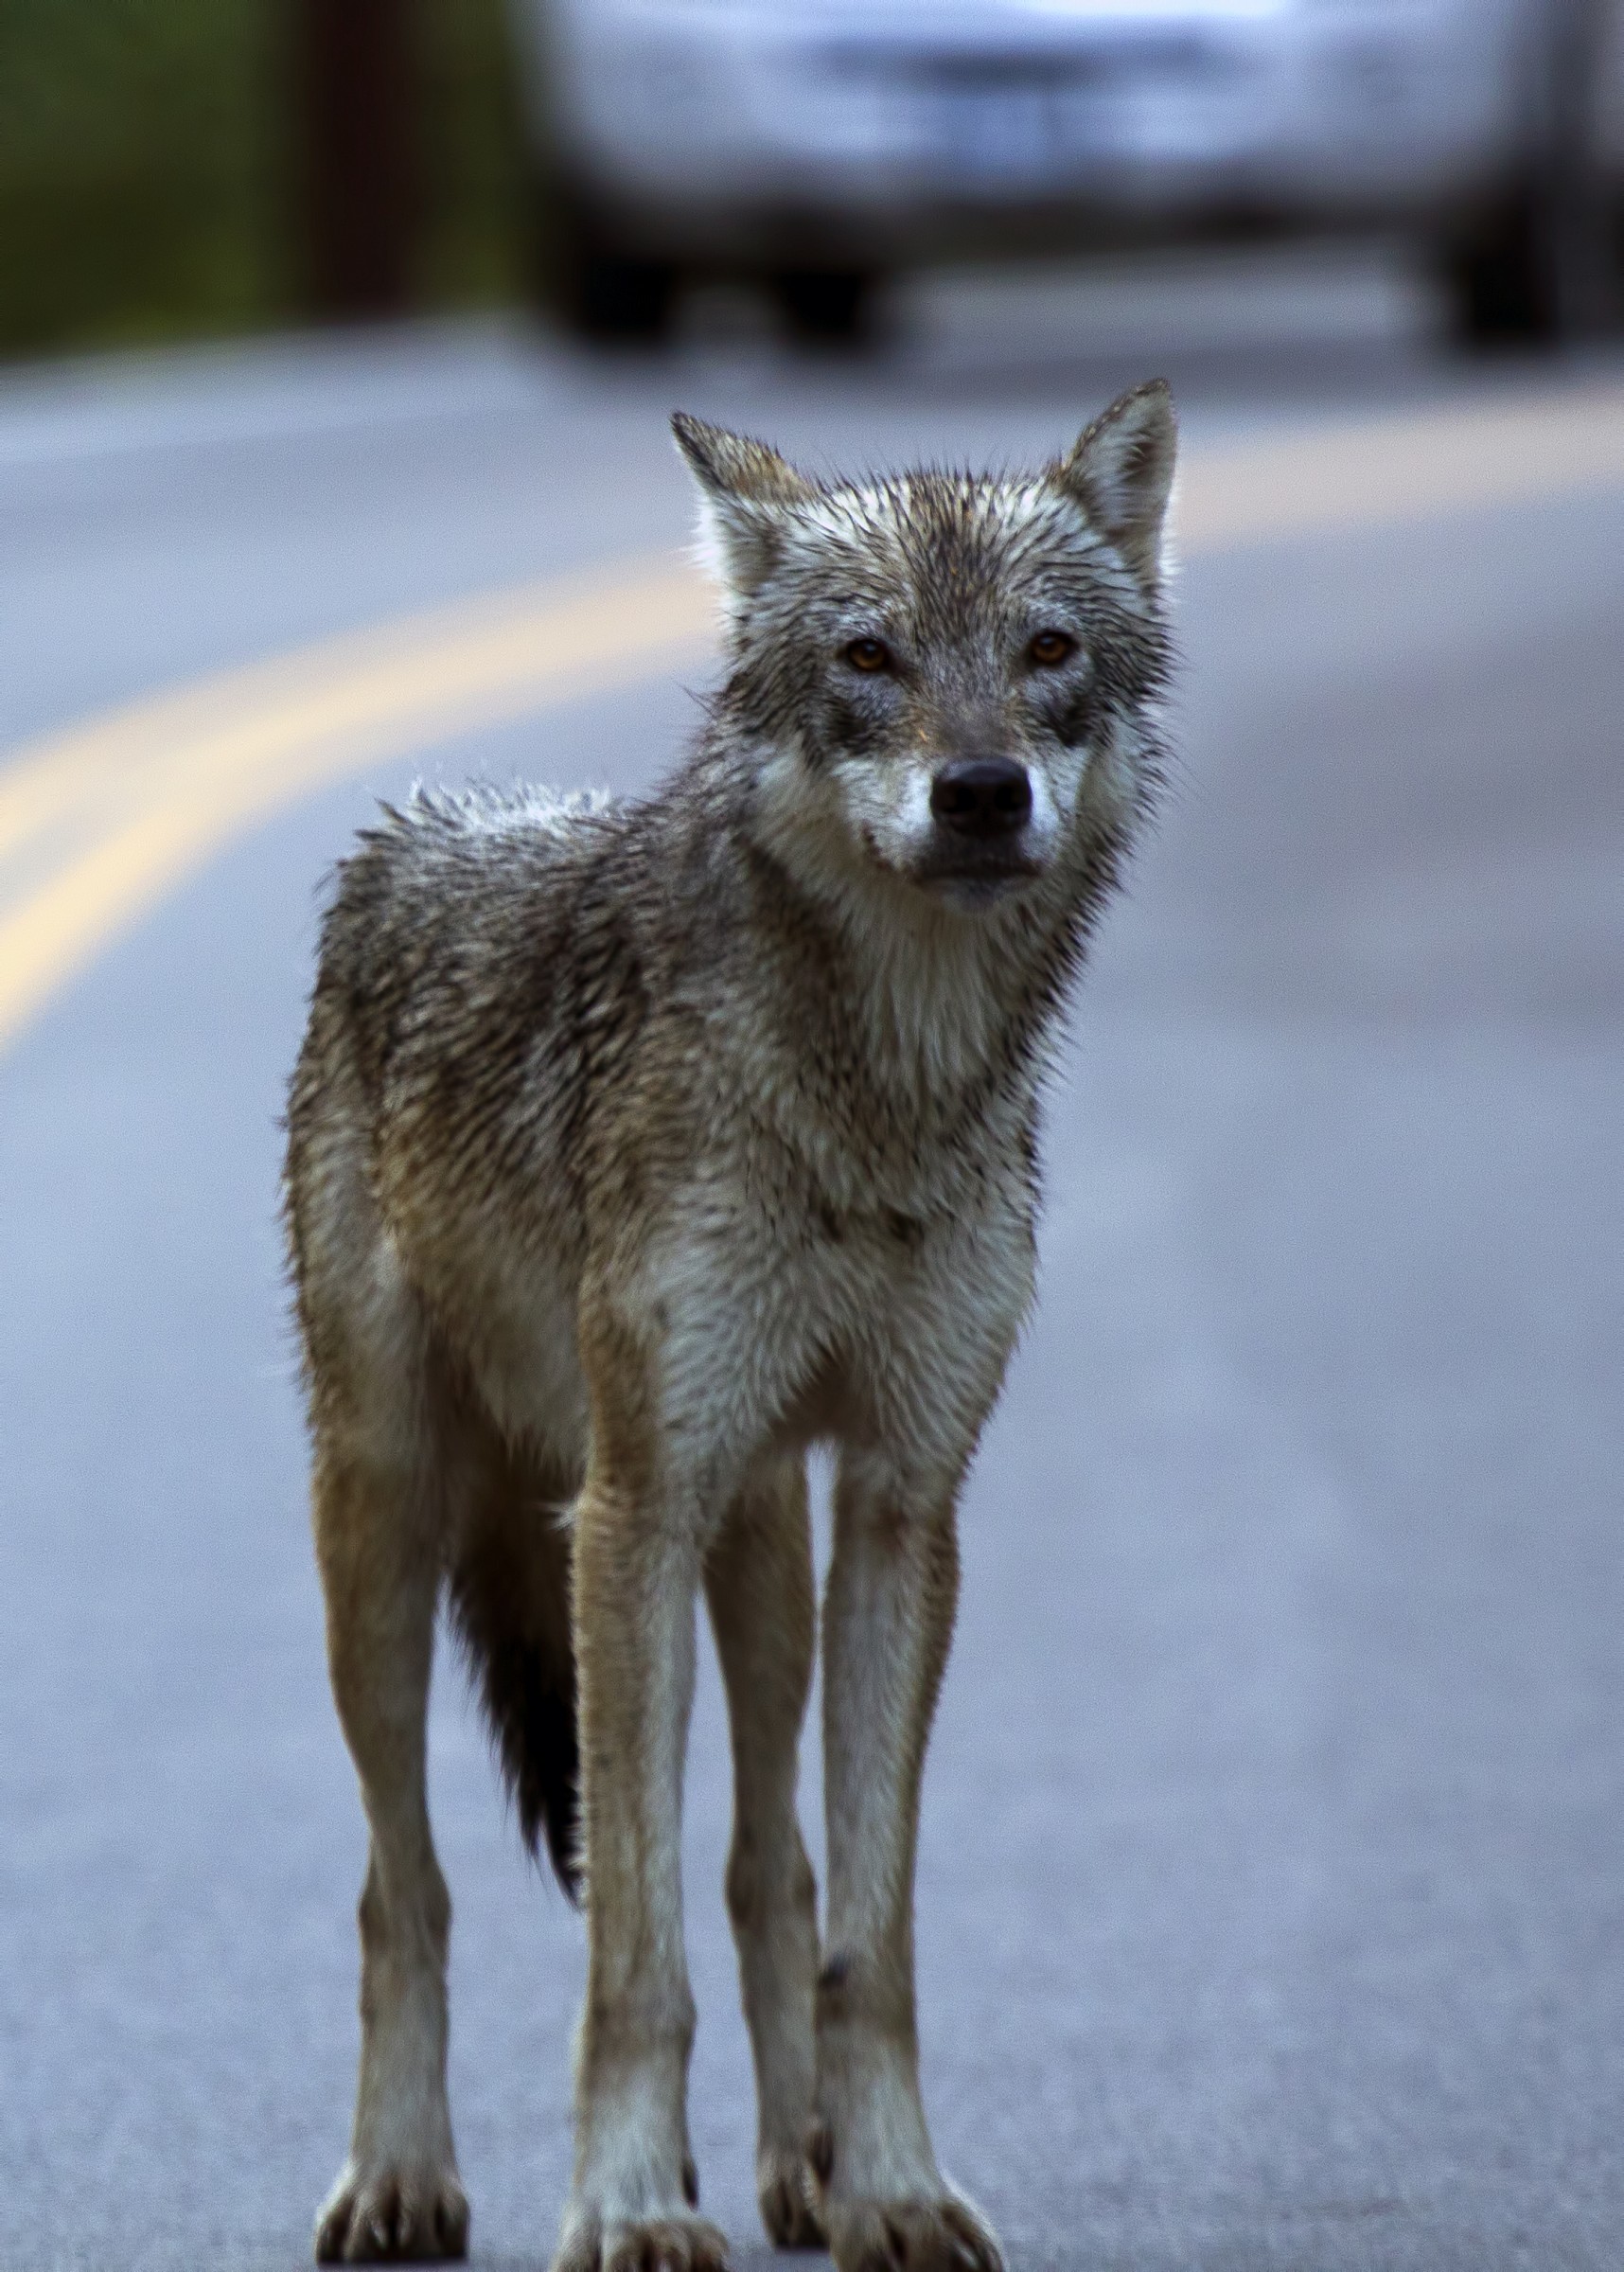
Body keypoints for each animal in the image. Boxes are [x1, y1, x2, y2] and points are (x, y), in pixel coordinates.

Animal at [284, 379, 1177, 2272]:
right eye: (868, 655)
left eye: (1046, 650)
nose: (979, 792)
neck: (871, 1101)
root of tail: (418, 821)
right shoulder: (627, 1511)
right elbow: (631, 1958)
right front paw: (628, 2206)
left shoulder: (905, 1506)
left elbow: (865, 1937)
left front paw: (892, 2186)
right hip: (387, 1529)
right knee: (403, 1888)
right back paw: (399, 2182)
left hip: (764, 1545)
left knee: (771, 1867)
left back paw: (801, 2175)